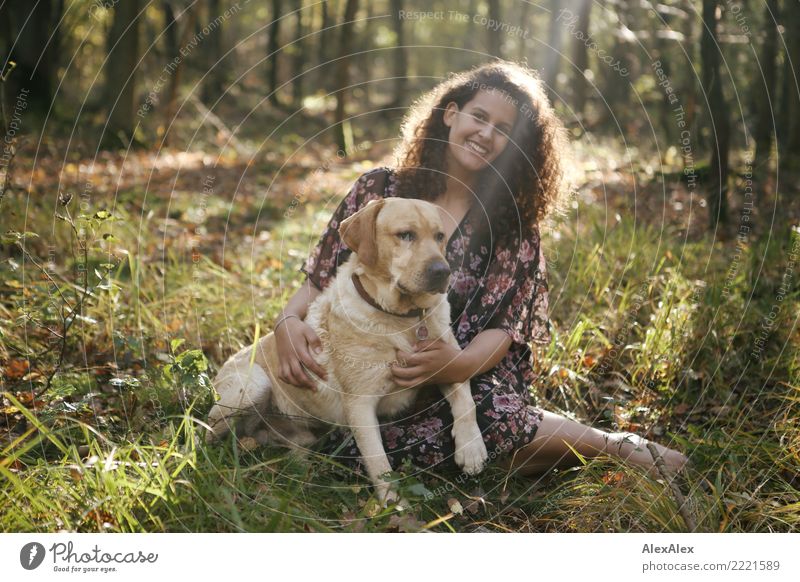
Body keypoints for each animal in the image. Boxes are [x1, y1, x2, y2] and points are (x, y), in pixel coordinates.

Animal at [206, 198, 488, 504]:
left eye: (439, 236)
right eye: (405, 235)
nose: (442, 272)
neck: (401, 318)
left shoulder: (447, 361)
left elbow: (466, 401)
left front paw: (472, 449)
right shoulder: (360, 405)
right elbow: (378, 461)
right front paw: (393, 504)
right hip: (252, 386)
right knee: (202, 435)